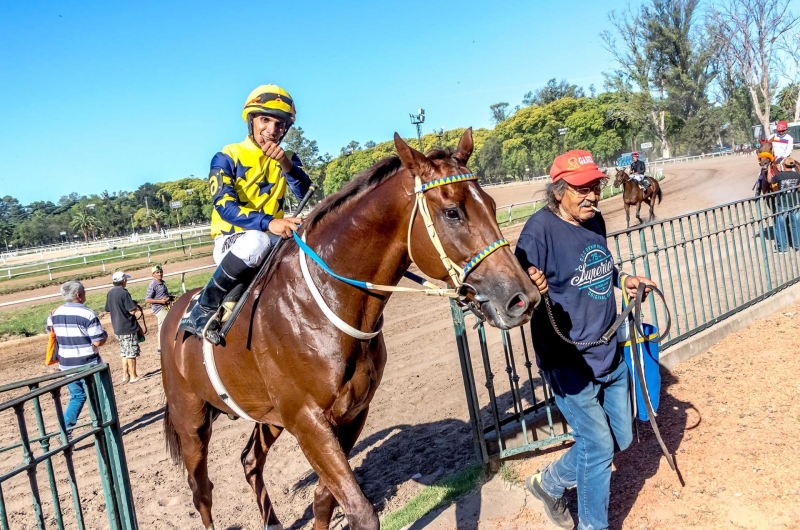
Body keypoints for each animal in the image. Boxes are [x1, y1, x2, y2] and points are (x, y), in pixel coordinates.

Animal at [160, 129, 536, 528]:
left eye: (492, 204)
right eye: (453, 212)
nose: (522, 297)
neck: (322, 306)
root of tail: (175, 313)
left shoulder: (352, 411)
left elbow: (325, 499)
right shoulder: (308, 421)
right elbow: (360, 511)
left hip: (268, 414)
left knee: (250, 460)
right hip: (191, 420)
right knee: (201, 490)